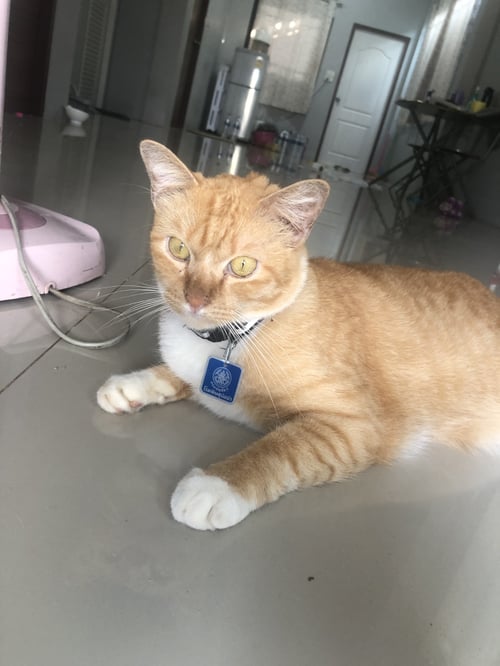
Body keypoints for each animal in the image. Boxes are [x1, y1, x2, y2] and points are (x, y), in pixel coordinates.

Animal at [97, 139, 500, 531]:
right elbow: (177, 374)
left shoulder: (353, 425)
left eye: (242, 266)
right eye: (179, 249)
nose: (195, 300)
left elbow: (282, 448)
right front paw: (134, 384)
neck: (235, 337)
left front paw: (216, 485)